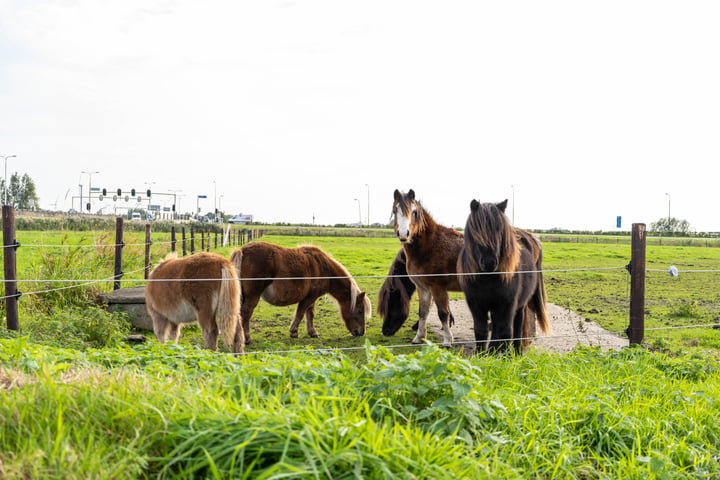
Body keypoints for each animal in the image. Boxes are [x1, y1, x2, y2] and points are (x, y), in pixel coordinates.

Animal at [232, 244, 372, 342]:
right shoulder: (310, 298)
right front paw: (294, 331)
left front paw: (312, 332)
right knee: (246, 313)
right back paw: (247, 338)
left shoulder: (312, 299)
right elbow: (301, 313)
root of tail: (242, 250)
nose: (361, 332)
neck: (323, 267)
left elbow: (309, 314)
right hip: (252, 296)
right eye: (360, 311)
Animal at [390, 188, 464, 344]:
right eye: (394, 210)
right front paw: (419, 337)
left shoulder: (438, 287)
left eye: (414, 212)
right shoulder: (422, 287)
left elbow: (443, 313)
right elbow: (422, 312)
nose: (403, 234)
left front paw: (447, 340)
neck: (430, 246)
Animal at [458, 198, 548, 352]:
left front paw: (504, 356)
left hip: (519, 305)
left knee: (517, 326)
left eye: (500, 230)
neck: (487, 279)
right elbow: (481, 331)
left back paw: (516, 352)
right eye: (476, 231)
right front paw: (482, 354)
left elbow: (506, 331)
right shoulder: (475, 304)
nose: (489, 262)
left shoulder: (507, 304)